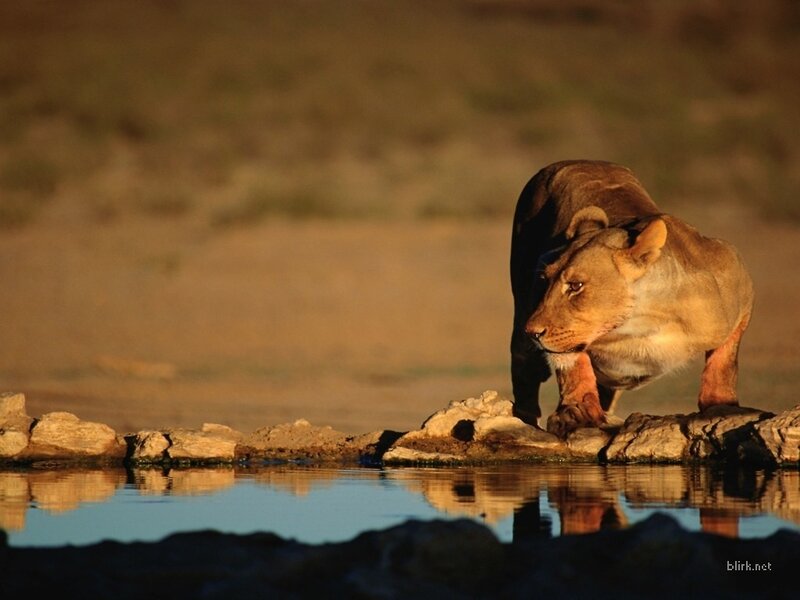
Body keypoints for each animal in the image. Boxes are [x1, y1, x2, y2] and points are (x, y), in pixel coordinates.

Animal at [510, 160, 754, 437]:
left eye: (575, 286)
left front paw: (721, 405)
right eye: (544, 280)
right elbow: (573, 365)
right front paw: (576, 413)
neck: (639, 324)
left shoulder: (738, 283)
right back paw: (525, 421)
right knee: (524, 374)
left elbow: (724, 361)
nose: (533, 331)